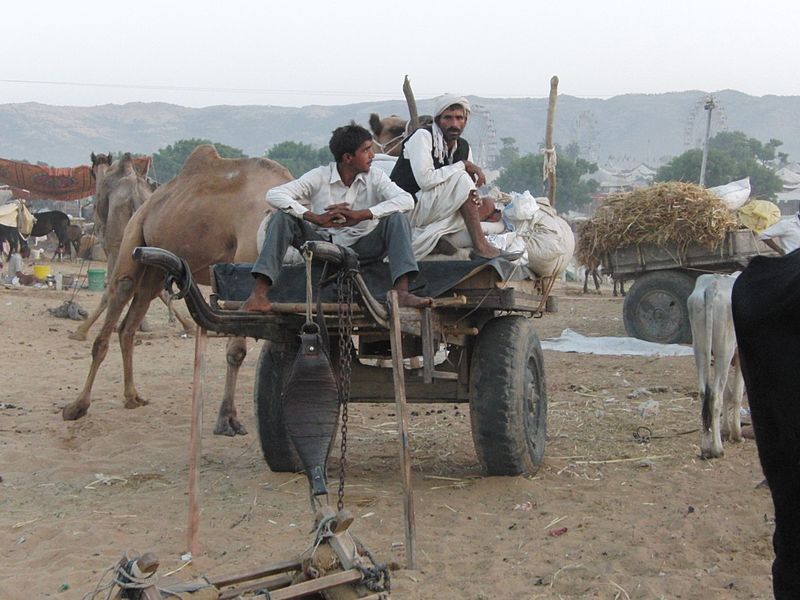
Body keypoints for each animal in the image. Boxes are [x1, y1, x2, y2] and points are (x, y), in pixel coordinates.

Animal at [72, 154, 197, 342]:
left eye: (91, 172)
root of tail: (136, 195)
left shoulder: (111, 247)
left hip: (120, 244)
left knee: (113, 285)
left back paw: (82, 330)